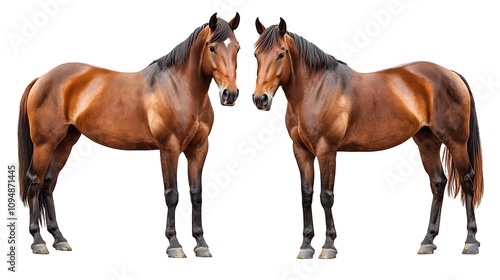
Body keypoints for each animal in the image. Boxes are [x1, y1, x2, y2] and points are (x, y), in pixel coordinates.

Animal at [17, 13, 240, 258]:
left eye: (237, 48)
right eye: (212, 47)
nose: (230, 94)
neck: (179, 87)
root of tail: (42, 78)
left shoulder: (199, 149)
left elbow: (196, 194)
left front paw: (201, 243)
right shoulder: (169, 148)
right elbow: (172, 194)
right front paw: (174, 244)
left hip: (65, 143)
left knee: (48, 183)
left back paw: (59, 239)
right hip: (44, 143)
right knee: (35, 182)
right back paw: (38, 241)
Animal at [254, 17, 484, 258]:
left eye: (281, 53)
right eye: (255, 54)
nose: (260, 99)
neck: (316, 89)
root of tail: (450, 73)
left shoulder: (327, 151)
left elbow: (326, 196)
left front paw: (329, 245)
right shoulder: (301, 151)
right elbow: (306, 195)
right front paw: (306, 245)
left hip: (456, 142)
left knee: (467, 180)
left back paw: (470, 241)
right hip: (427, 143)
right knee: (438, 183)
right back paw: (428, 241)